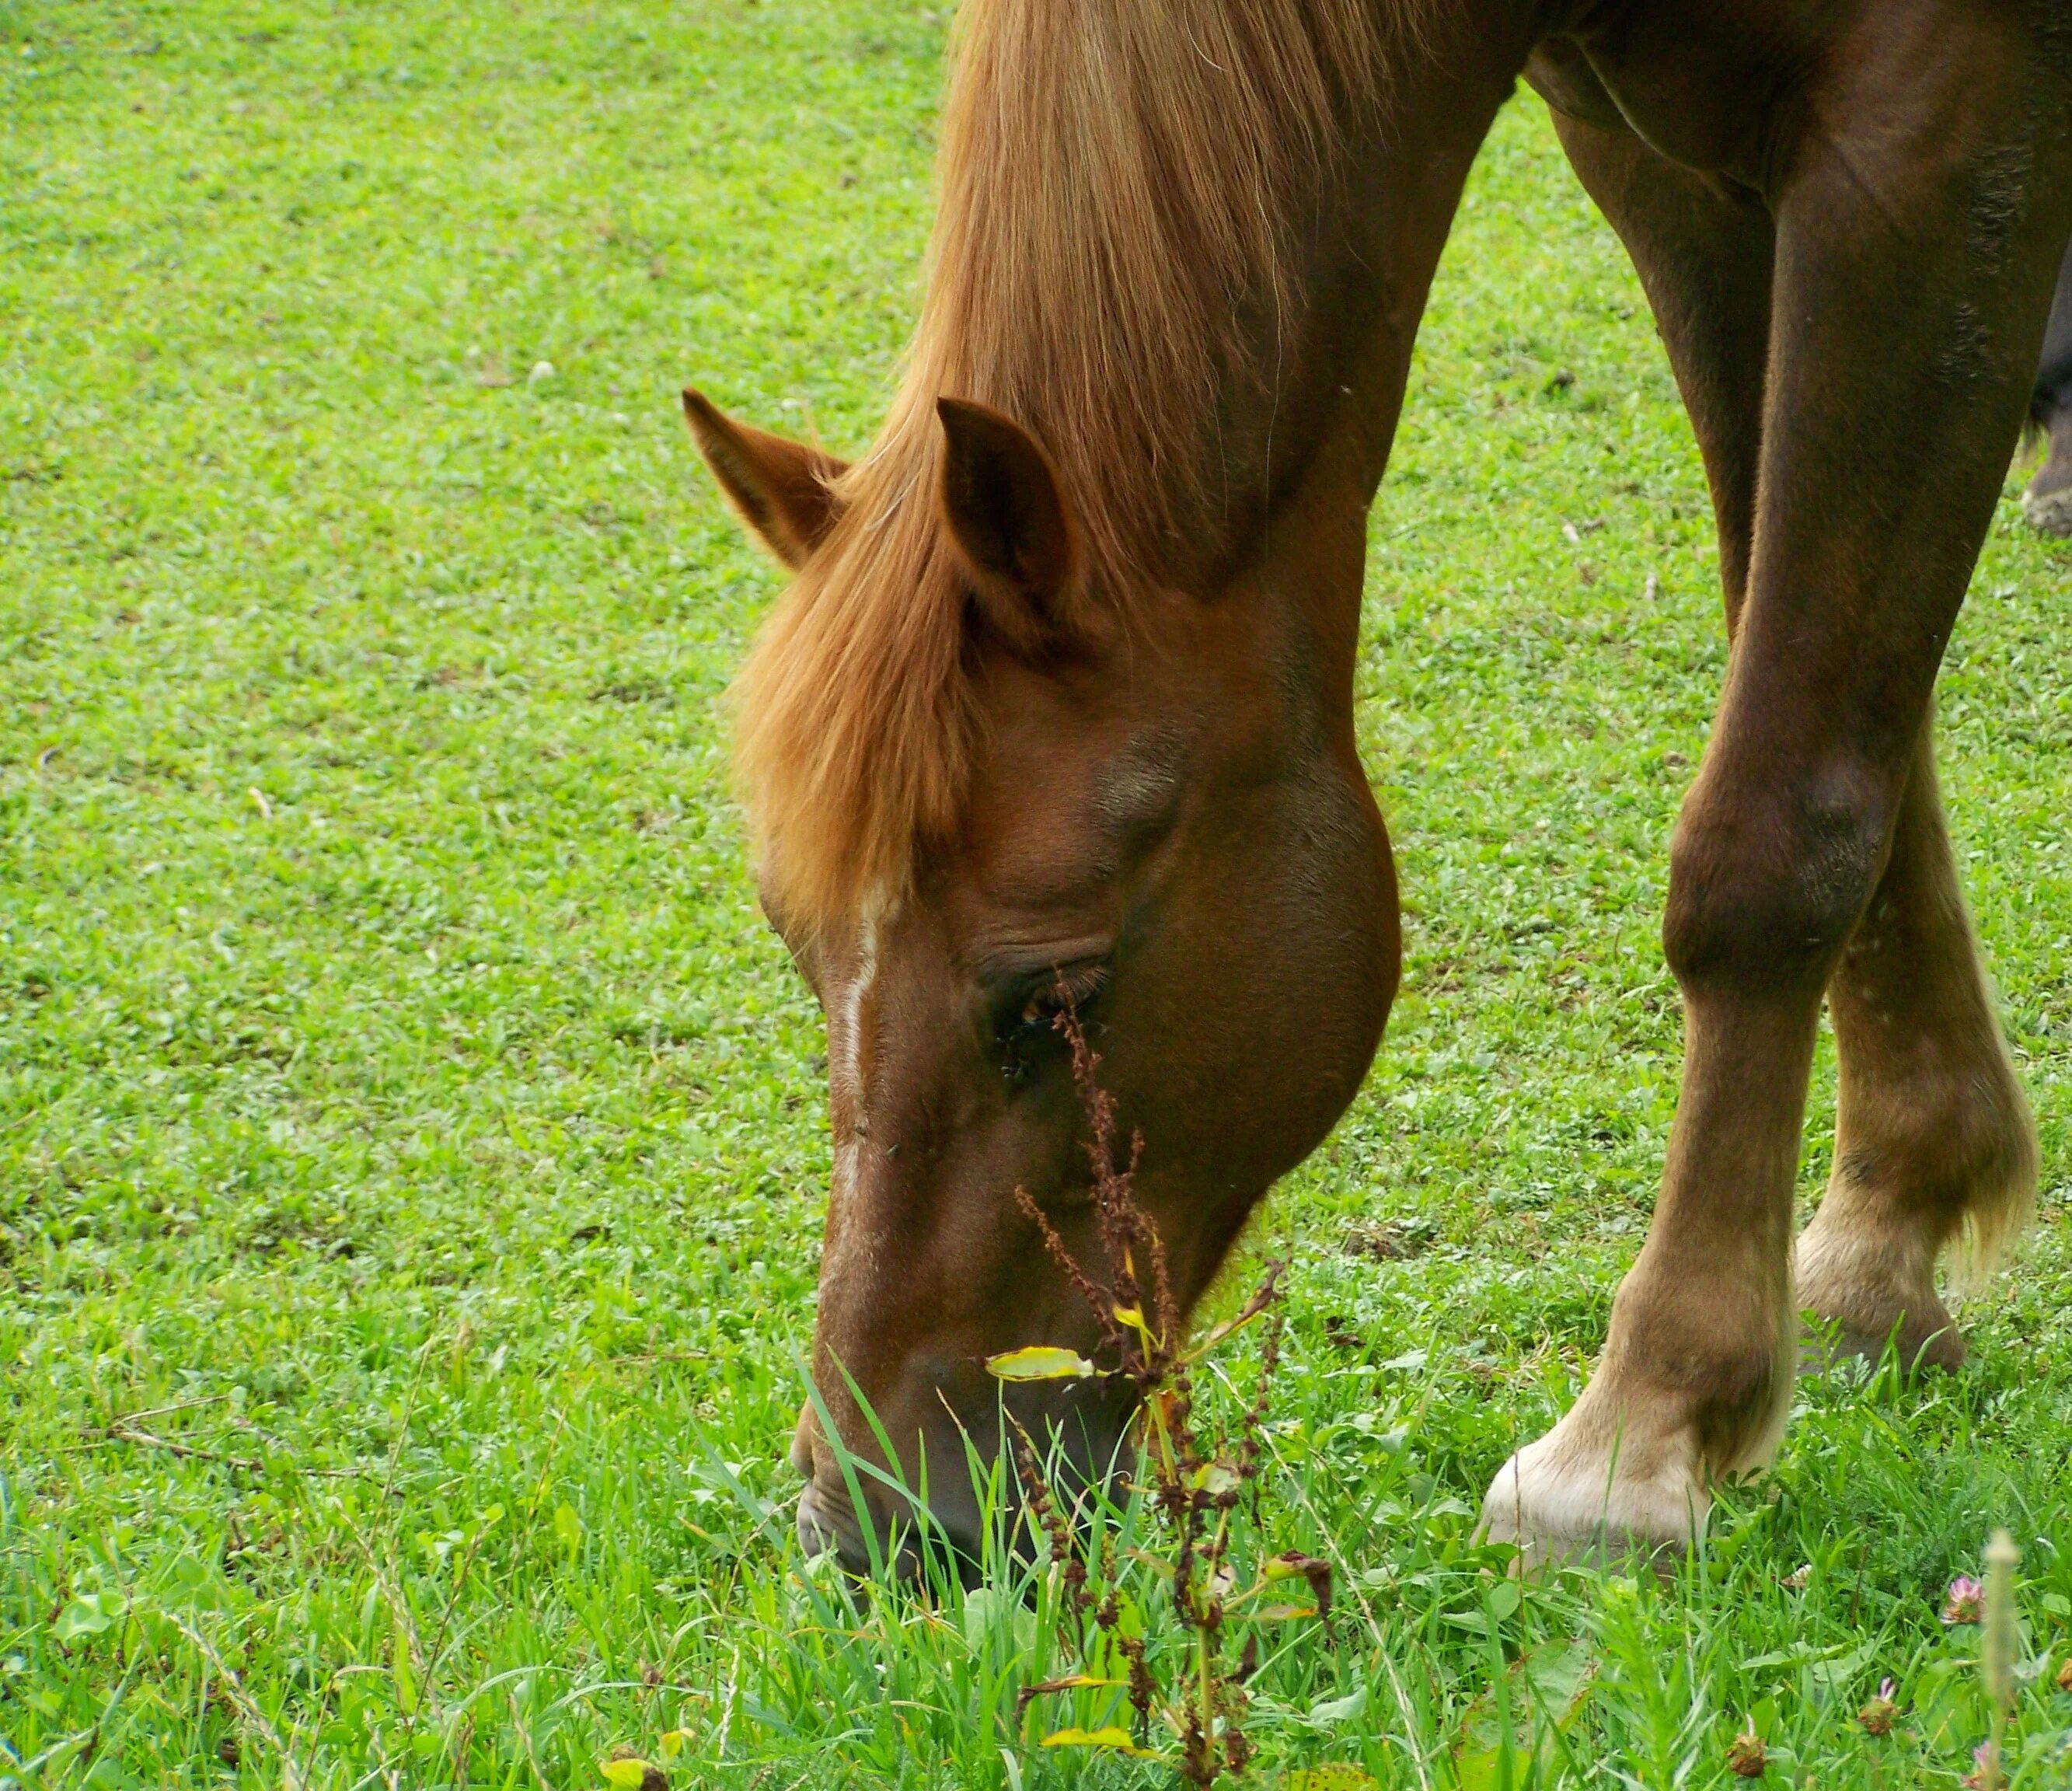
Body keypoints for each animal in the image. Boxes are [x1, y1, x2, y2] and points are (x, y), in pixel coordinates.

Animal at [692, 0, 2072, 1567]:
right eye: (800, 953)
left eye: (1054, 995)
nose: (870, 1525)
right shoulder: (1682, 169)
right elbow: (1843, 718)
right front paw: (1884, 1235)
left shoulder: (1936, 130)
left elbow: (1779, 824)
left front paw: (1639, 1428)